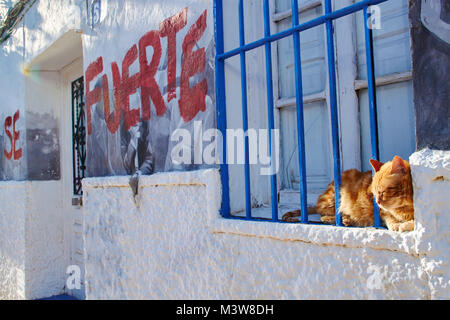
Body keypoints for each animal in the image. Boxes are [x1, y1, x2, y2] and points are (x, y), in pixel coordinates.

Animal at [282, 156, 414, 232]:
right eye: (374, 192)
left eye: (382, 191)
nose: (377, 201)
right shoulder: (380, 210)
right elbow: (389, 217)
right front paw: (396, 225)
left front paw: (405, 224)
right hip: (333, 199)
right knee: (324, 215)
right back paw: (344, 219)